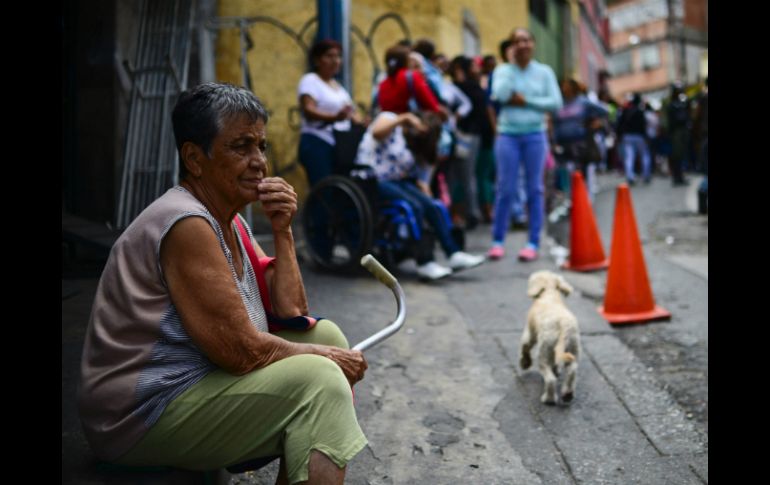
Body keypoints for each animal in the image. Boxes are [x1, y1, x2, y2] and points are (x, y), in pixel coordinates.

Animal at [520, 270, 580, 402]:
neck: (549, 293)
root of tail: (563, 324)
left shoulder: (530, 333)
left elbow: (525, 346)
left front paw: (525, 363)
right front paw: (556, 369)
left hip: (544, 352)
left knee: (550, 379)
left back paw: (548, 399)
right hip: (572, 348)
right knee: (572, 371)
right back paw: (567, 394)